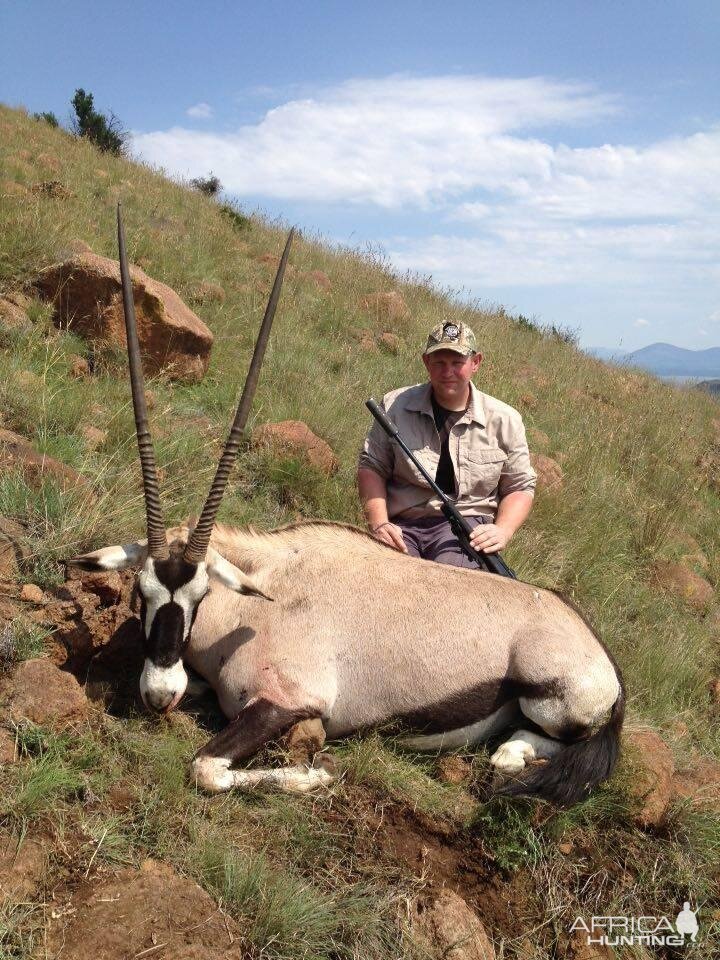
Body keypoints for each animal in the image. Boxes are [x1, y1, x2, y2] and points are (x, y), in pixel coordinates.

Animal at [70, 206, 628, 808]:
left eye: (199, 593)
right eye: (142, 591)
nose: (160, 694)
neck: (259, 598)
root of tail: (604, 659)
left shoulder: (287, 701)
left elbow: (206, 767)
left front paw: (319, 772)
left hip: (551, 699)